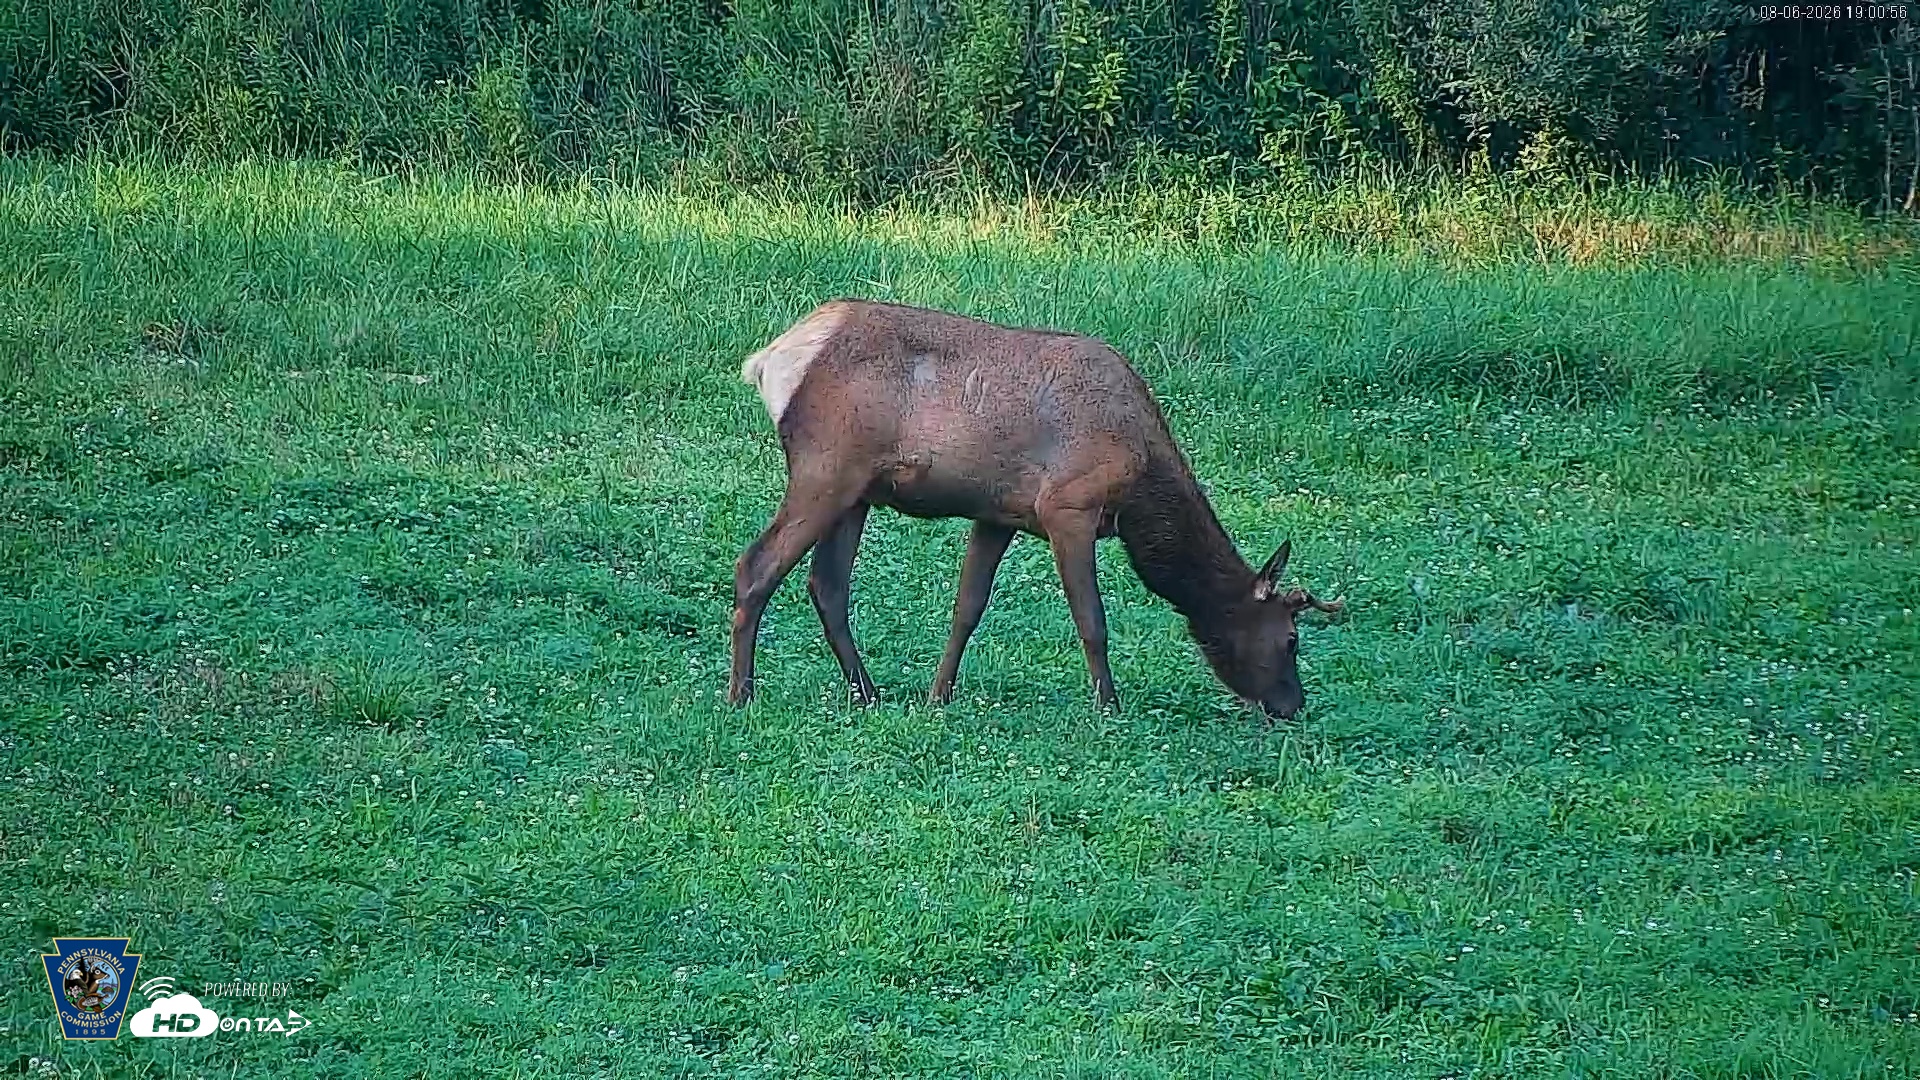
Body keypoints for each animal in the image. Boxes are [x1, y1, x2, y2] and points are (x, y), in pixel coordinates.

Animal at [729, 299, 1343, 717]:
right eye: (1291, 639)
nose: (1294, 704)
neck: (1140, 488)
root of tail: (769, 361)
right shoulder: (1067, 507)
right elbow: (1092, 619)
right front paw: (1109, 706)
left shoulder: (998, 514)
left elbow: (968, 608)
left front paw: (937, 695)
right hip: (826, 469)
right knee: (756, 565)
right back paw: (741, 694)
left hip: (858, 492)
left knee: (827, 585)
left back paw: (869, 693)